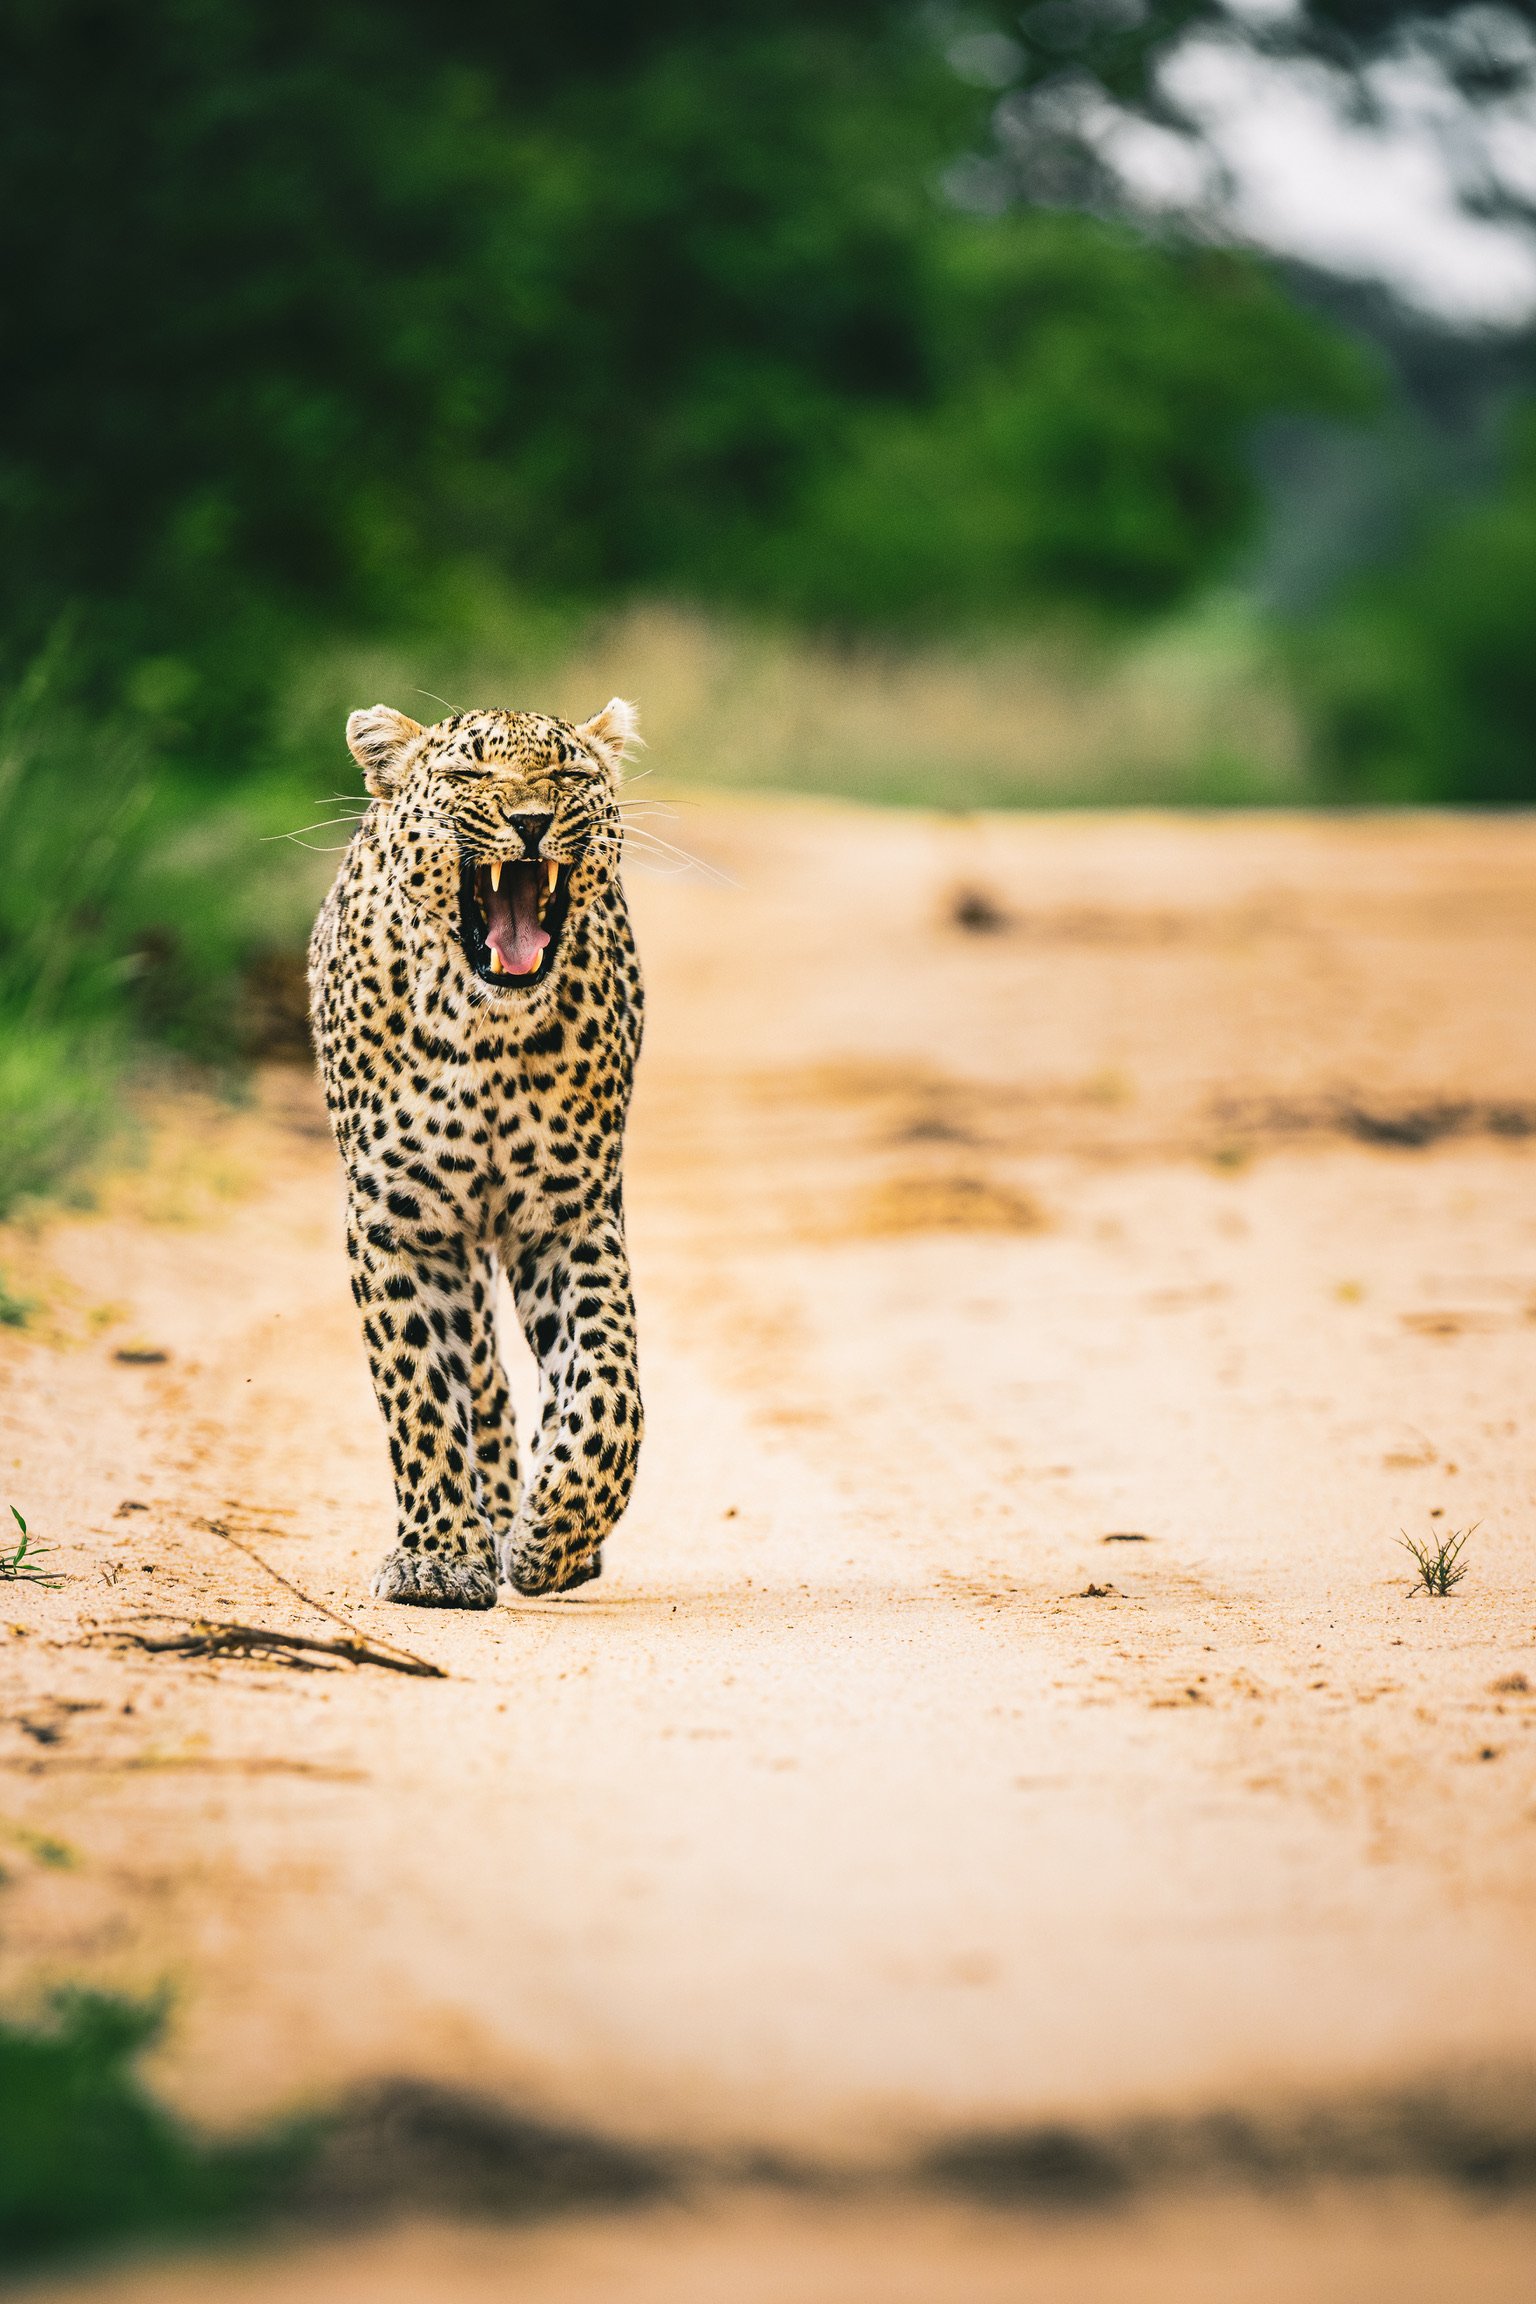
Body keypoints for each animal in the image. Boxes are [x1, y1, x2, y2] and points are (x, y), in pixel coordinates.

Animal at [307, 696, 645, 1609]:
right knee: (480, 1377)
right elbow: (421, 1393)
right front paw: (437, 1559)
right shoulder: (398, 1222)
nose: (530, 823)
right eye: (469, 774)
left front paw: (555, 1534)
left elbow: (609, 1388)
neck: (488, 1027)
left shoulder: (568, 1219)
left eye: (568, 773)